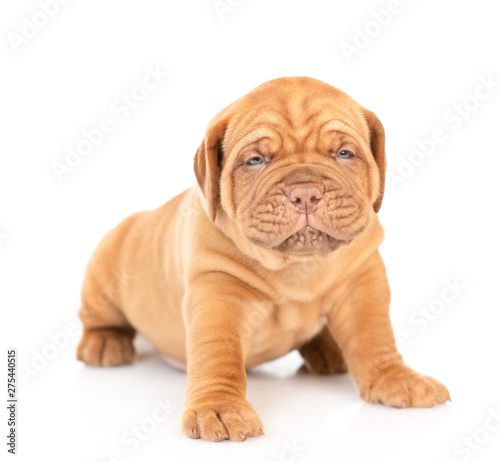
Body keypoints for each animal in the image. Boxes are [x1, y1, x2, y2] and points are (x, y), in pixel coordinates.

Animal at [76, 77, 452, 442]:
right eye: (256, 161)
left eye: (344, 153)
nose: (305, 193)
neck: (298, 266)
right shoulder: (219, 291)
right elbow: (219, 354)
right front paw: (220, 407)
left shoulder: (362, 278)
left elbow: (374, 337)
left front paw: (397, 378)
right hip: (103, 277)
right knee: (100, 319)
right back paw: (104, 342)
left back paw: (327, 350)